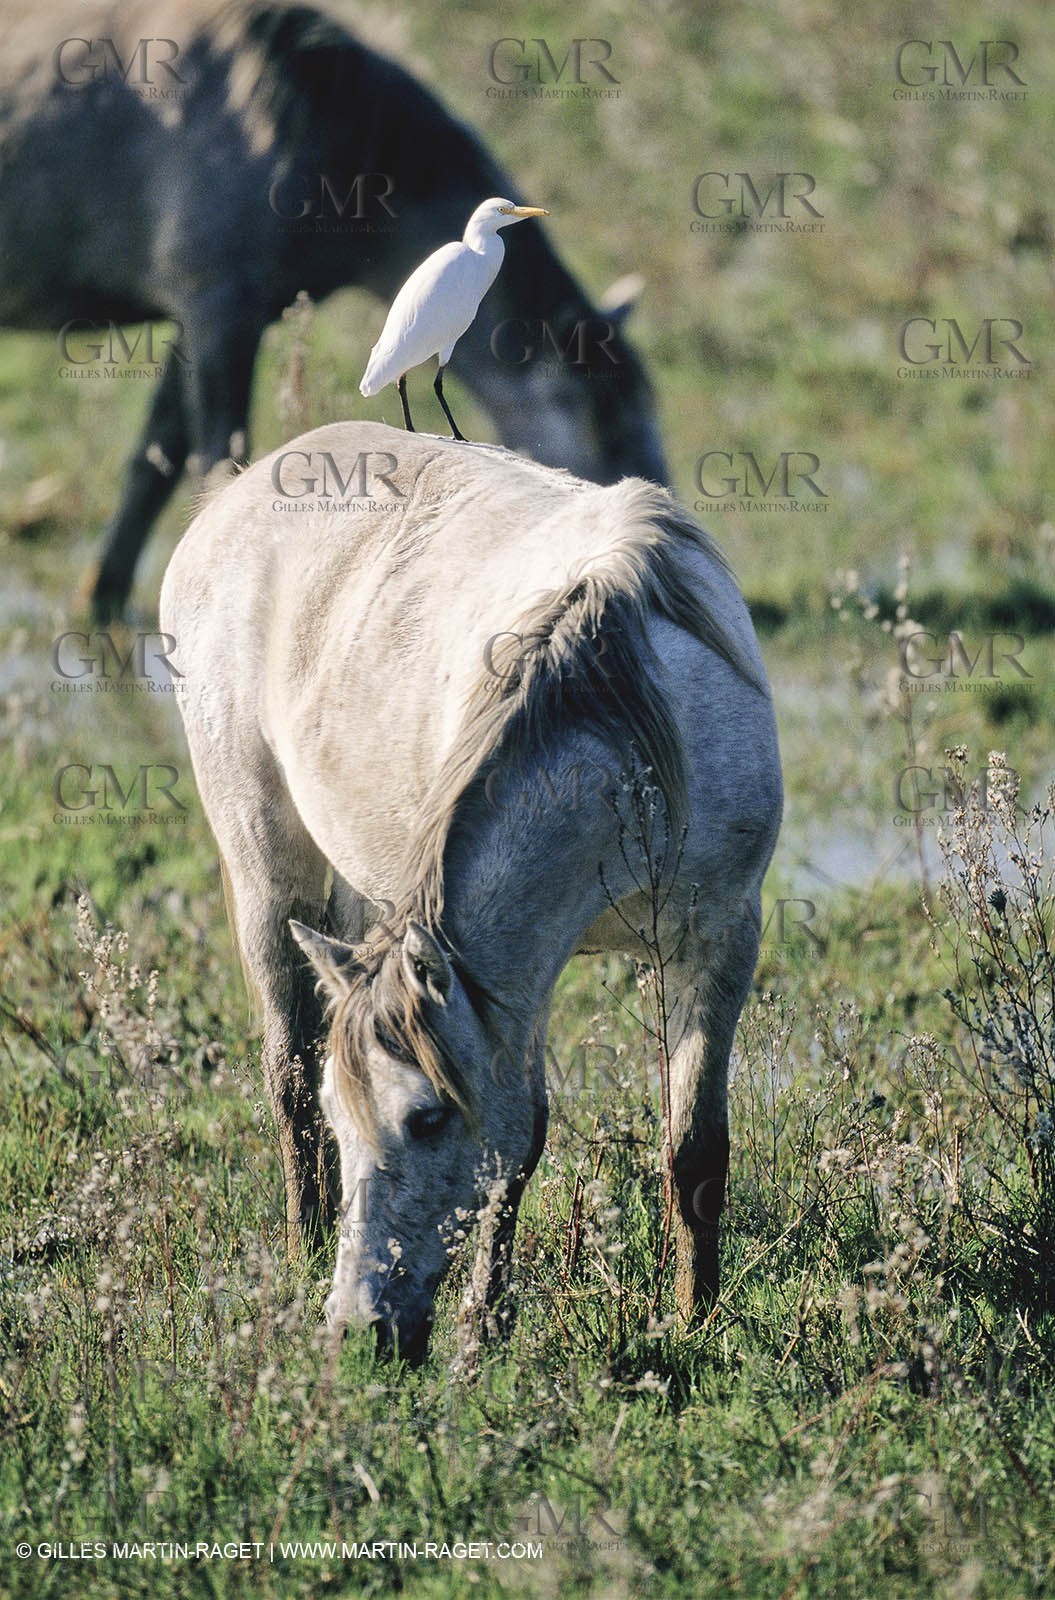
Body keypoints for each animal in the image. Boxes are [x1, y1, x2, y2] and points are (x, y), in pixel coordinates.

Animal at [0, 0, 667, 620]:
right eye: (603, 422)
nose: (653, 500)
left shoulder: (207, 318)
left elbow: (151, 464)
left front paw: (101, 601)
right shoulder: (218, 310)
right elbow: (215, 462)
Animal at [161, 420, 782, 1362]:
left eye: (426, 1120)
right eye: (350, 1122)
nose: (360, 1330)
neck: (631, 735)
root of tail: (233, 493)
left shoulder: (715, 939)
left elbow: (693, 1149)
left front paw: (694, 1320)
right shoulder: (513, 979)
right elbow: (518, 1145)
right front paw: (483, 1330)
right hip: (267, 865)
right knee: (287, 1069)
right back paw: (305, 1250)